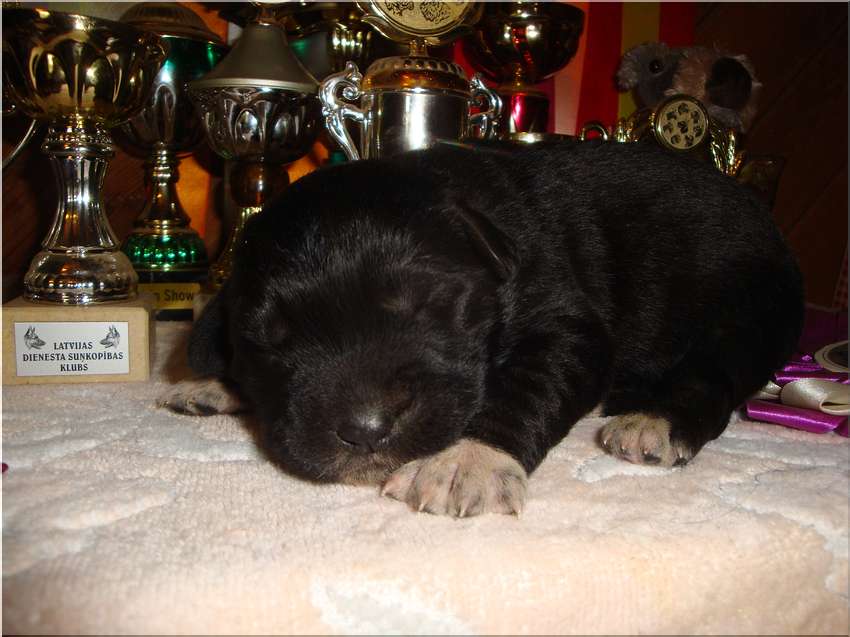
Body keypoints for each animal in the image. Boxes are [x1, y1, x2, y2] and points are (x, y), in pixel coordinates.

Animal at [162, 139, 804, 517]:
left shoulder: (562, 318)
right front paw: (216, 383)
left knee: (713, 378)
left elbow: (525, 385)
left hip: (745, 310)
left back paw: (654, 421)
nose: (366, 431)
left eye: (429, 304)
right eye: (268, 340)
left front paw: (467, 460)